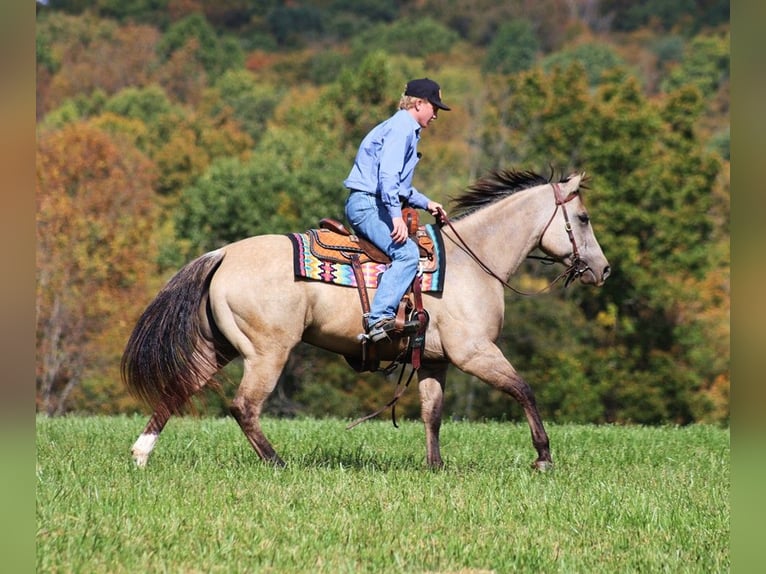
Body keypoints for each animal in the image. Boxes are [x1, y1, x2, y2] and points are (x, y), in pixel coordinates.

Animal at [122, 169, 610, 470]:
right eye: (584, 218)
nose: (603, 270)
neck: (473, 260)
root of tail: (222, 253)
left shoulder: (435, 361)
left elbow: (432, 413)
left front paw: (435, 467)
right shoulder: (474, 352)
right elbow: (523, 389)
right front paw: (543, 456)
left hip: (218, 347)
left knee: (178, 389)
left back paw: (141, 454)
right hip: (267, 352)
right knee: (244, 406)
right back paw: (278, 463)